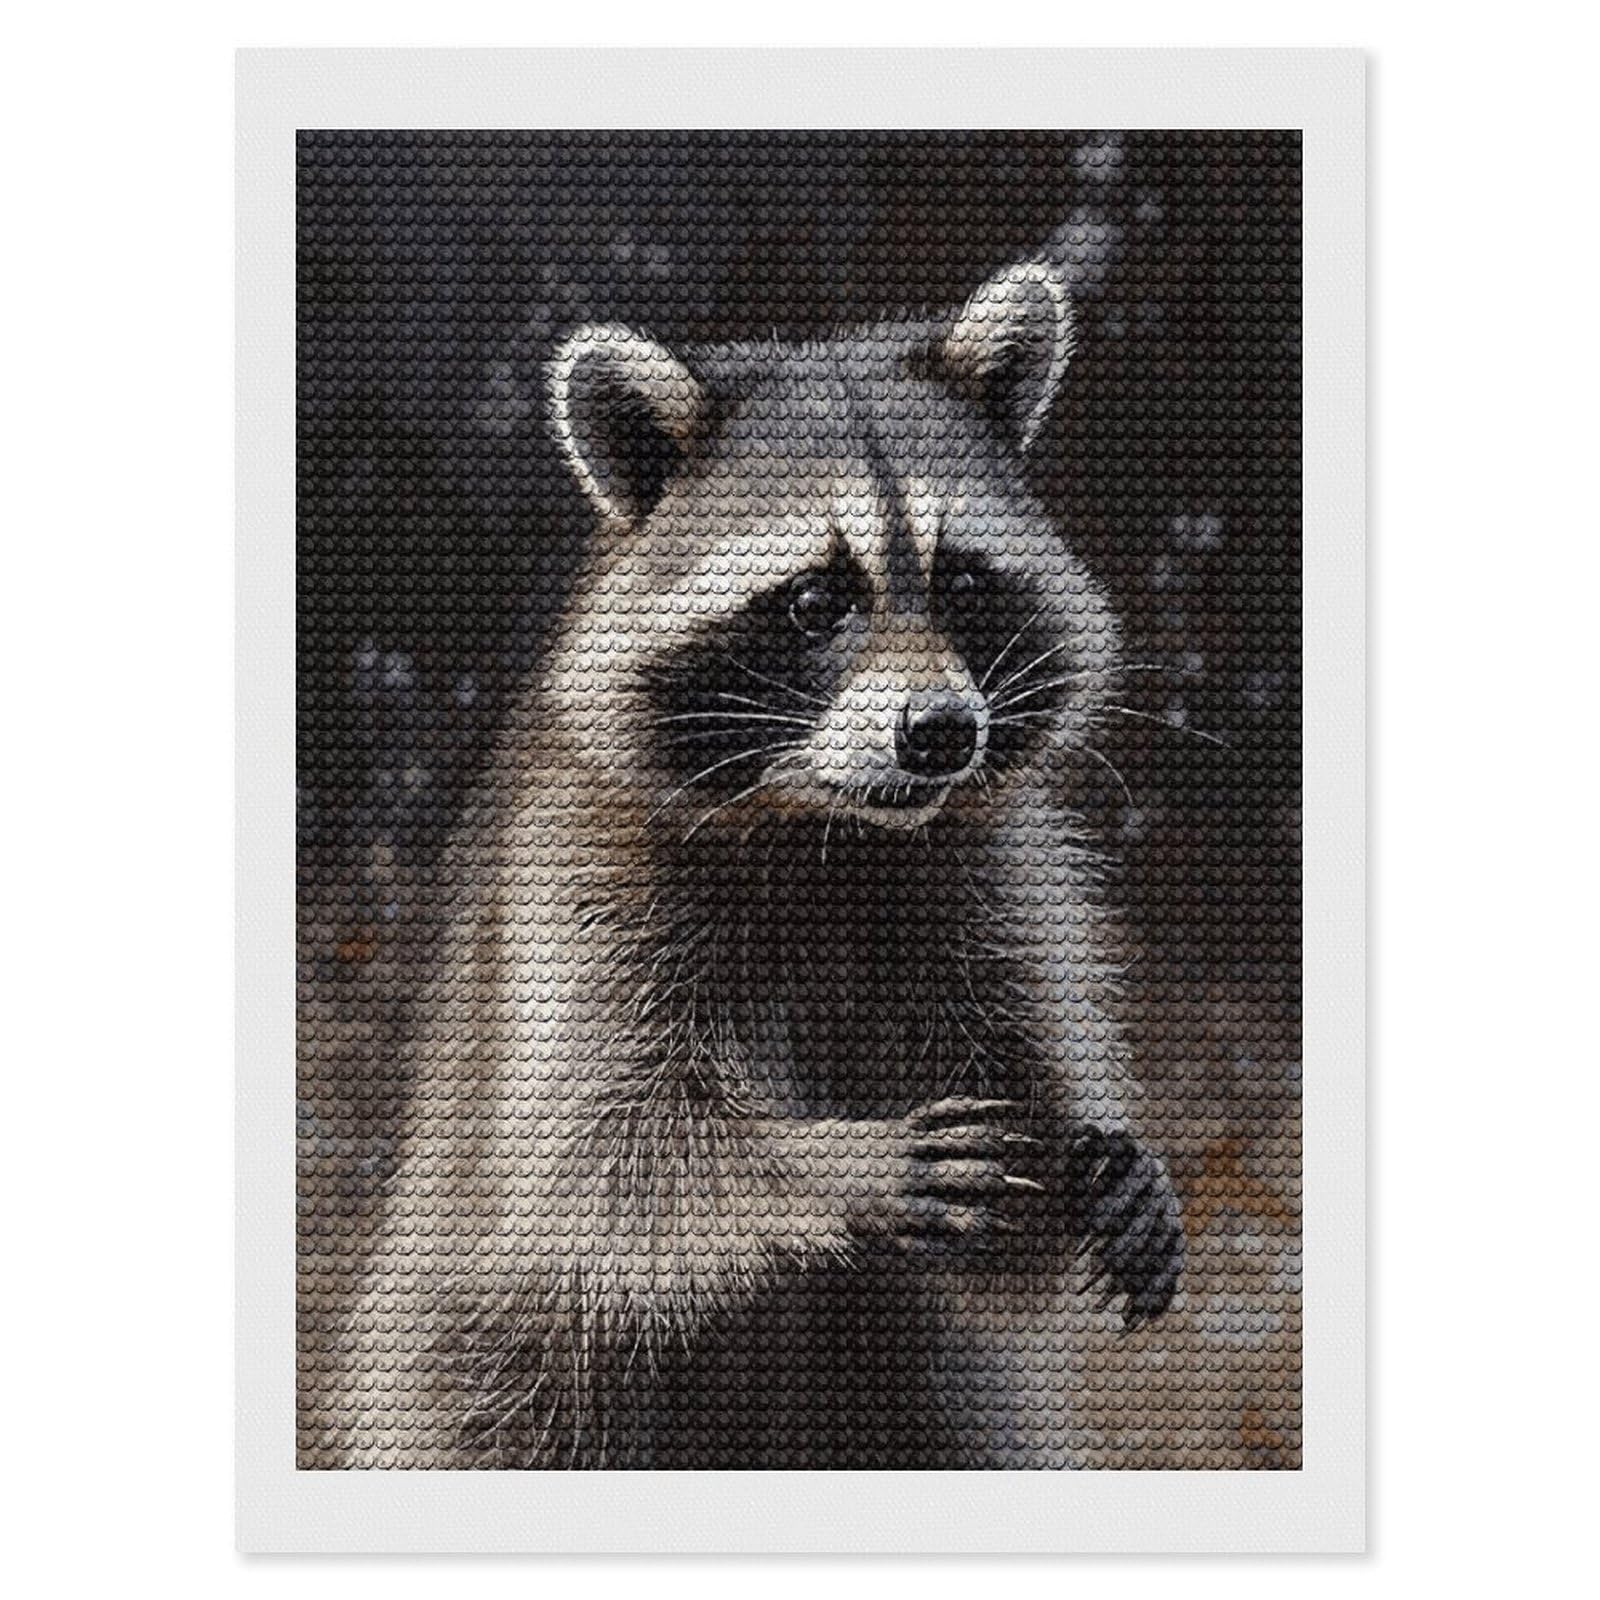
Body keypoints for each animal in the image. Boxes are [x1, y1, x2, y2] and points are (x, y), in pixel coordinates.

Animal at [310, 258, 1185, 1470]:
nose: (940, 733)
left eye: (962, 582)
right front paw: (834, 1164)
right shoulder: (576, 882)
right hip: (480, 1372)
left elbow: (1008, 1223)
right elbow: (588, 1164)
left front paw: (1102, 1172)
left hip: (924, 1398)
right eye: (816, 600)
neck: (830, 836)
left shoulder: (991, 878)